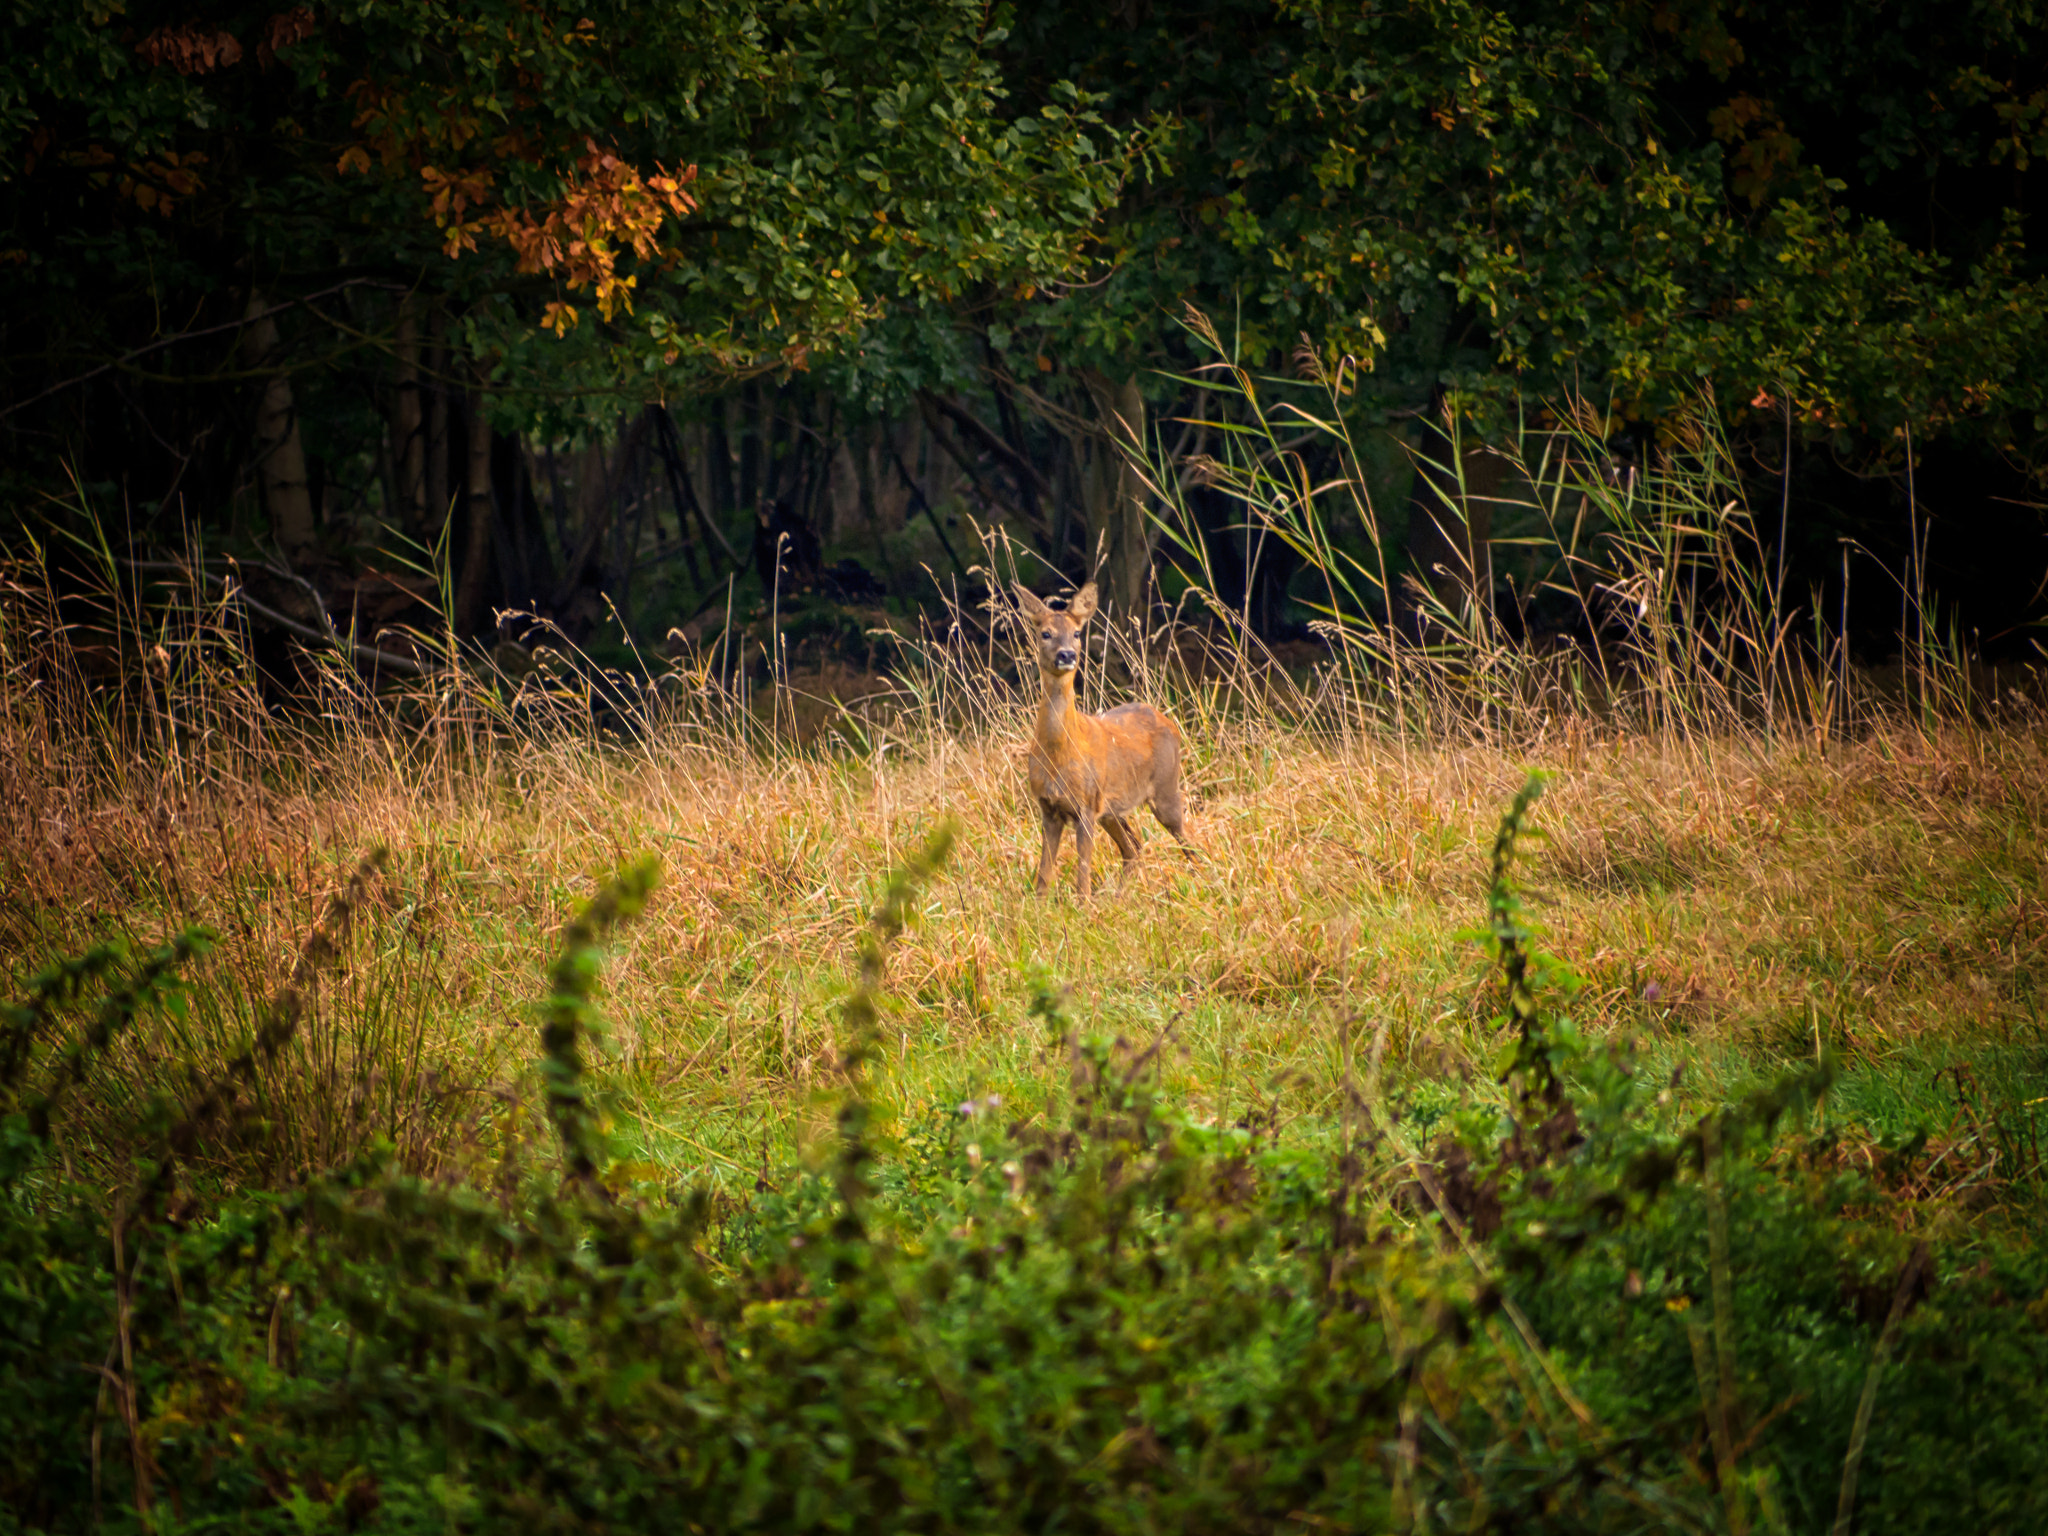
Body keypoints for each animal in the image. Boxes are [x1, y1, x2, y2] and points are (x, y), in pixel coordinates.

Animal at [1015, 585, 1196, 901]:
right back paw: (1120, 897)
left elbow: (1082, 872)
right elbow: (1044, 873)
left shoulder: (1087, 804)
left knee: (1188, 840)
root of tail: (1169, 721)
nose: (1066, 654)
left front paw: (1083, 905)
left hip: (1164, 788)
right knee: (1134, 847)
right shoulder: (1048, 807)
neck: (1059, 753)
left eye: (1077, 633)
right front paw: (1038, 906)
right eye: (1045, 633)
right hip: (1113, 809)